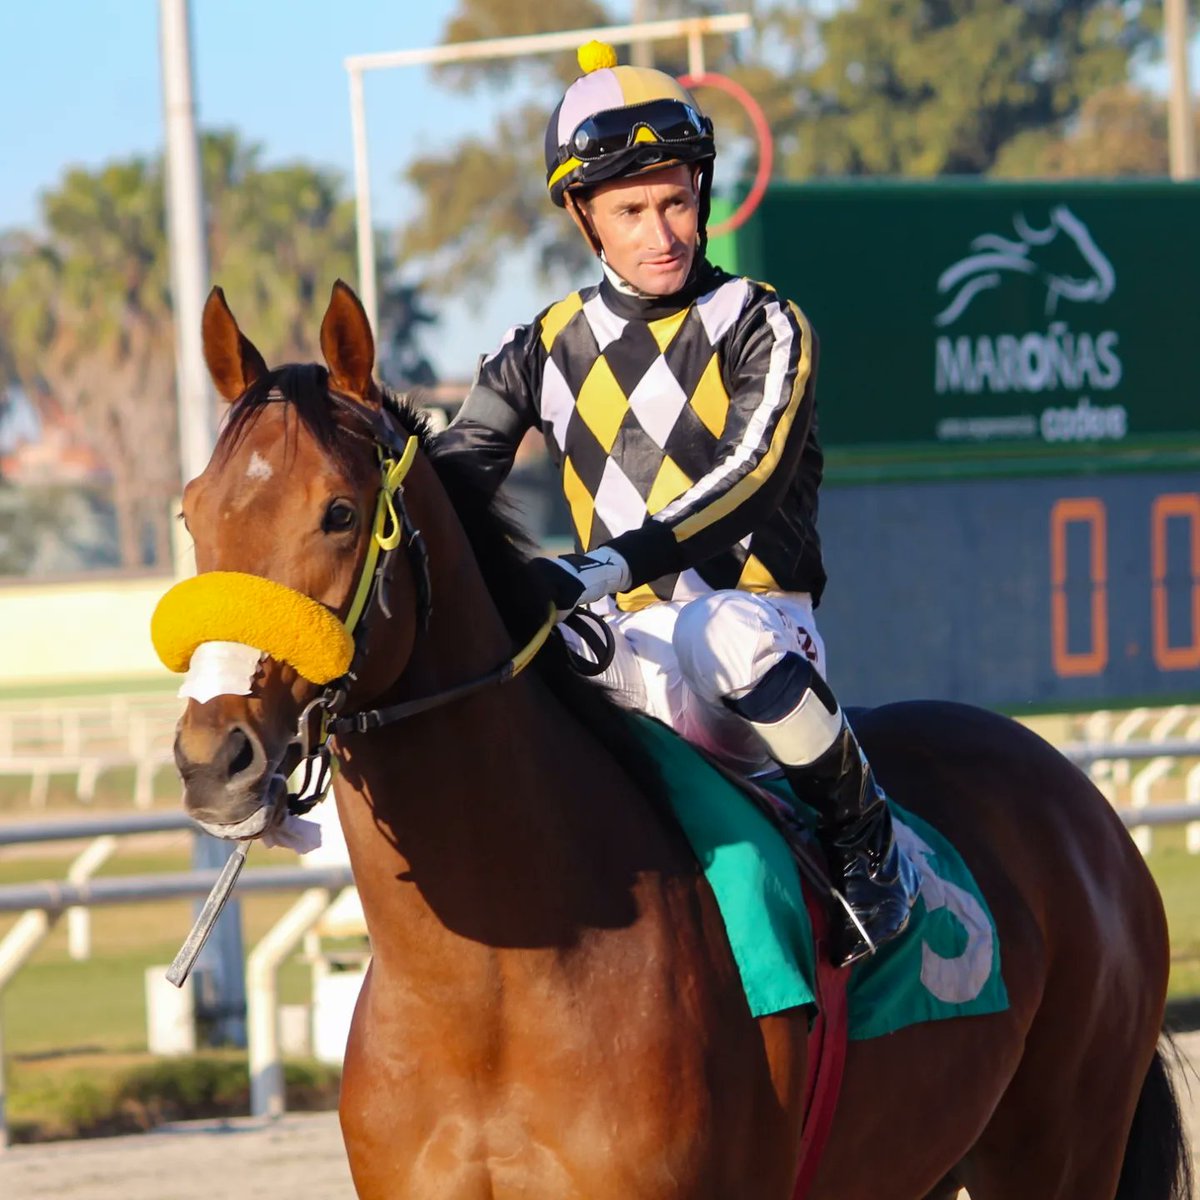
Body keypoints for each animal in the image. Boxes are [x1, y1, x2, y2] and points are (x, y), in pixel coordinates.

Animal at [159, 279, 1190, 1199]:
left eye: (339, 511)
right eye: (191, 510)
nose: (215, 762)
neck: (489, 994)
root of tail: (1075, 795)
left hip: (1061, 1147)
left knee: (742, 651)